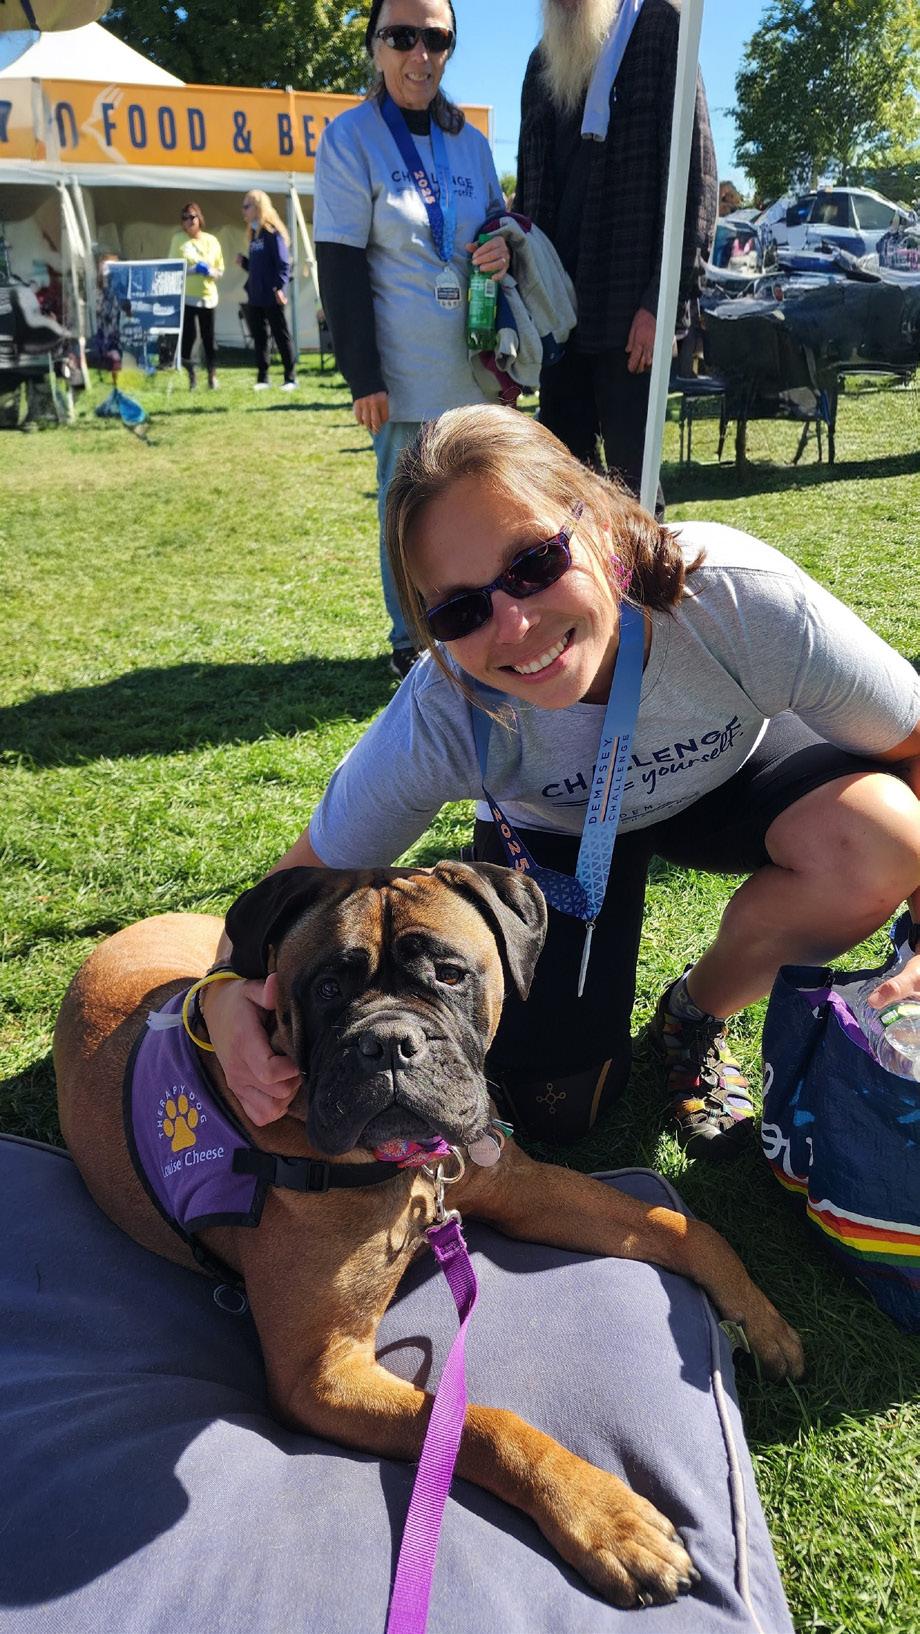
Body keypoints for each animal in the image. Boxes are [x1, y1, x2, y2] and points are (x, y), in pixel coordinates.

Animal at [54, 860, 804, 1610]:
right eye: (326, 988)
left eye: (449, 974)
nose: (388, 1043)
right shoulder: (322, 1375)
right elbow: (478, 1424)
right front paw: (606, 1517)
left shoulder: (526, 1191)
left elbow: (683, 1226)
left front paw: (762, 1320)